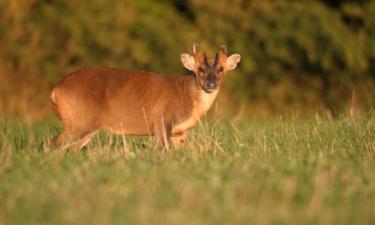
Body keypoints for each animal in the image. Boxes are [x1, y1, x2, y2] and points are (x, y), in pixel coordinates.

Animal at [50, 44, 241, 150]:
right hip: (79, 121)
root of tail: (55, 90)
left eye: (220, 69)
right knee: (54, 144)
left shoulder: (179, 132)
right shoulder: (161, 119)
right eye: (200, 69)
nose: (211, 84)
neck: (188, 95)